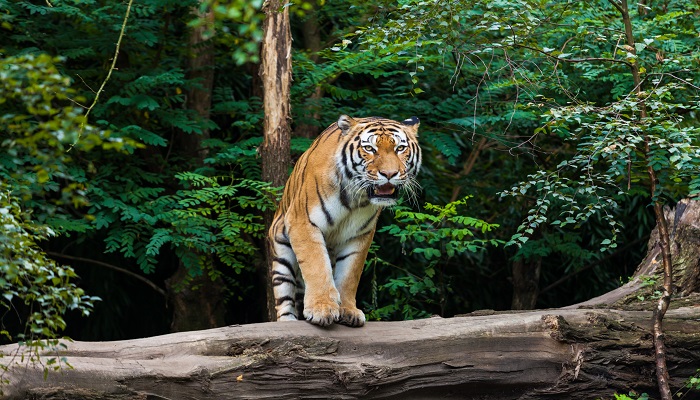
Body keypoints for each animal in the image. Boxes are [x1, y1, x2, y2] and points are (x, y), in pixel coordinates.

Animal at [268, 115, 421, 327]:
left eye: (400, 148)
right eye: (369, 148)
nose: (389, 174)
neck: (354, 198)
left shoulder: (359, 234)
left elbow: (349, 274)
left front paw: (348, 310)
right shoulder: (303, 223)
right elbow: (316, 266)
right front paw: (322, 308)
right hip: (282, 256)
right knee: (284, 299)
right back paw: (288, 322)